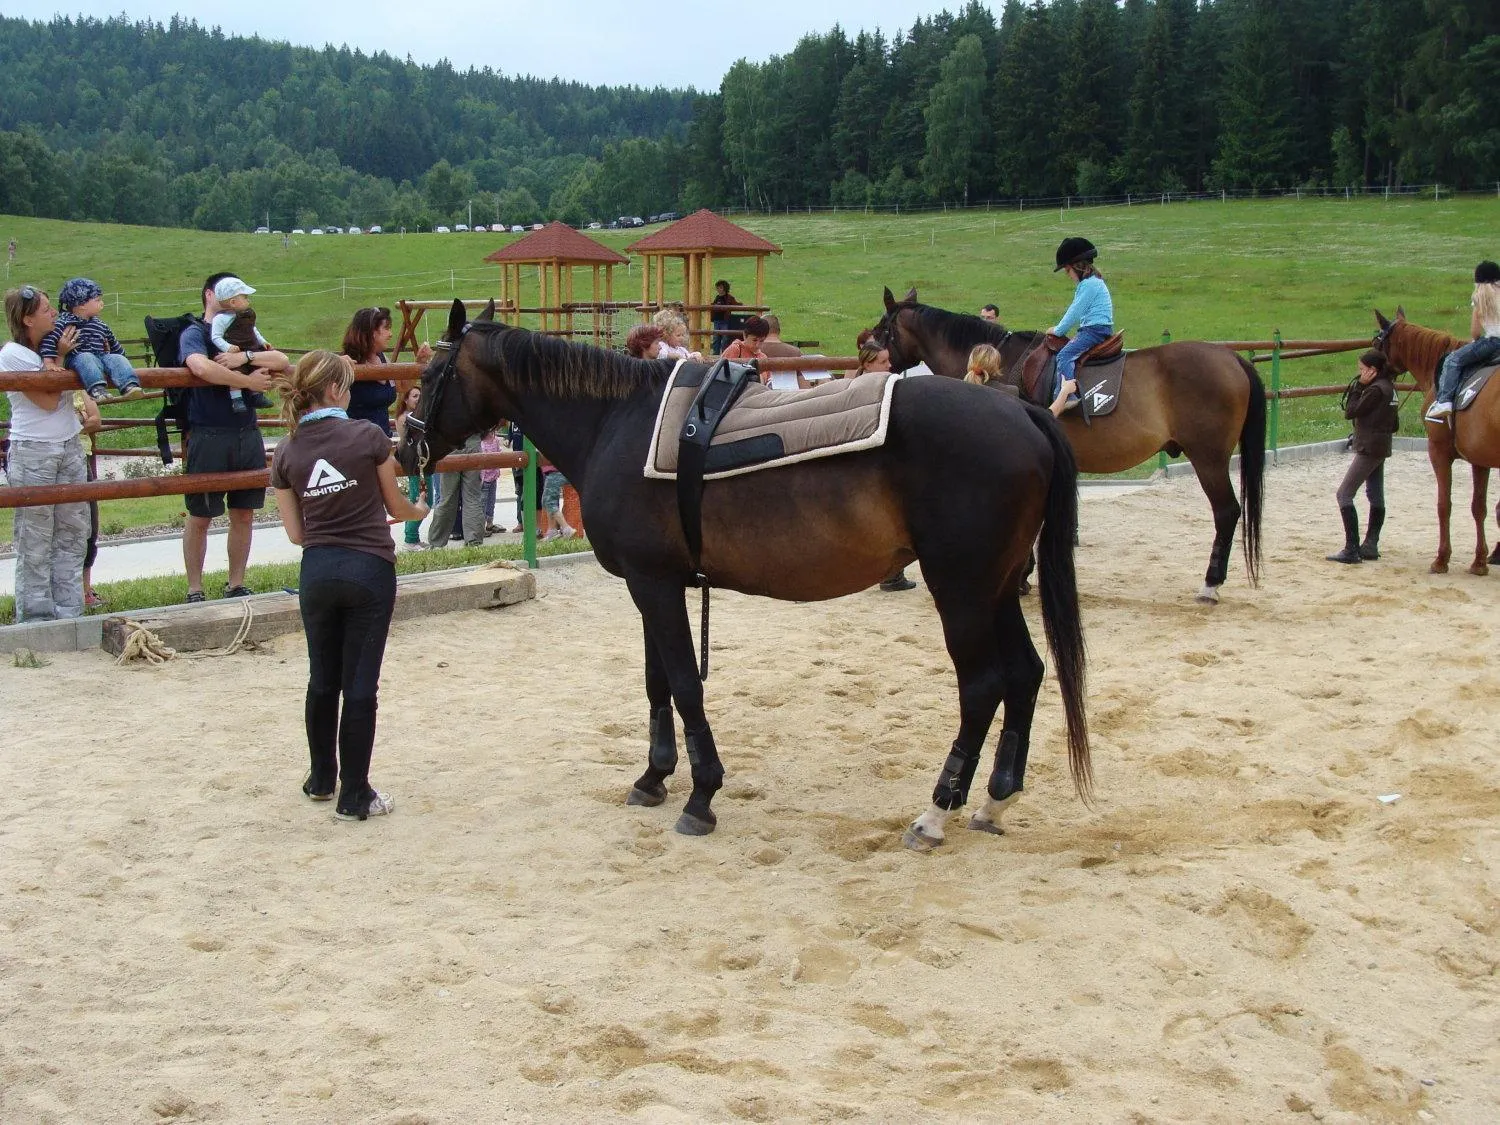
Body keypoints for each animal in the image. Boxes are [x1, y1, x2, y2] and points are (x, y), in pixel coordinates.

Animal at [397, 299, 1091, 850]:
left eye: (430, 374)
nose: (405, 449)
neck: (616, 423)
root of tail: (1023, 414)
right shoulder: (654, 584)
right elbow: (656, 683)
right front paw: (653, 778)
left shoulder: (653, 584)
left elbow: (683, 684)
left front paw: (701, 796)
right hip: (996, 588)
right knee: (1026, 673)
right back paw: (995, 800)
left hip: (963, 591)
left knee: (982, 686)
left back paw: (935, 813)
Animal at [871, 289, 1266, 604]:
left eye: (880, 331)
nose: (872, 358)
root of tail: (1232, 357)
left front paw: (1019, 578)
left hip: (1209, 458)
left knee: (1227, 512)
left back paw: (1210, 584)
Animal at [1373, 307, 1500, 575]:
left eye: (1376, 344)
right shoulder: (1480, 459)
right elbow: (1479, 508)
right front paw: (1479, 561)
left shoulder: (1438, 452)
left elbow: (1444, 505)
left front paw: (1442, 559)